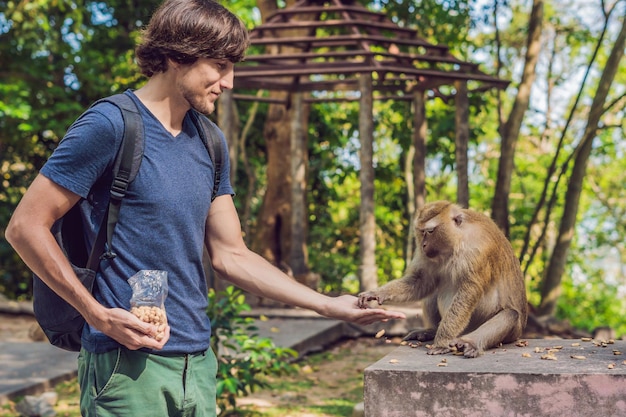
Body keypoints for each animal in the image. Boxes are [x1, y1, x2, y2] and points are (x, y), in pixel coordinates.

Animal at [356, 200, 528, 356]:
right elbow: (420, 281)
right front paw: (377, 293)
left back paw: (469, 342)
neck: (459, 240)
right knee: (433, 291)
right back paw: (431, 331)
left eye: (430, 231)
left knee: (510, 315)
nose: (423, 245)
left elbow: (468, 292)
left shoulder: (479, 251)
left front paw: (442, 341)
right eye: (421, 232)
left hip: (502, 330)